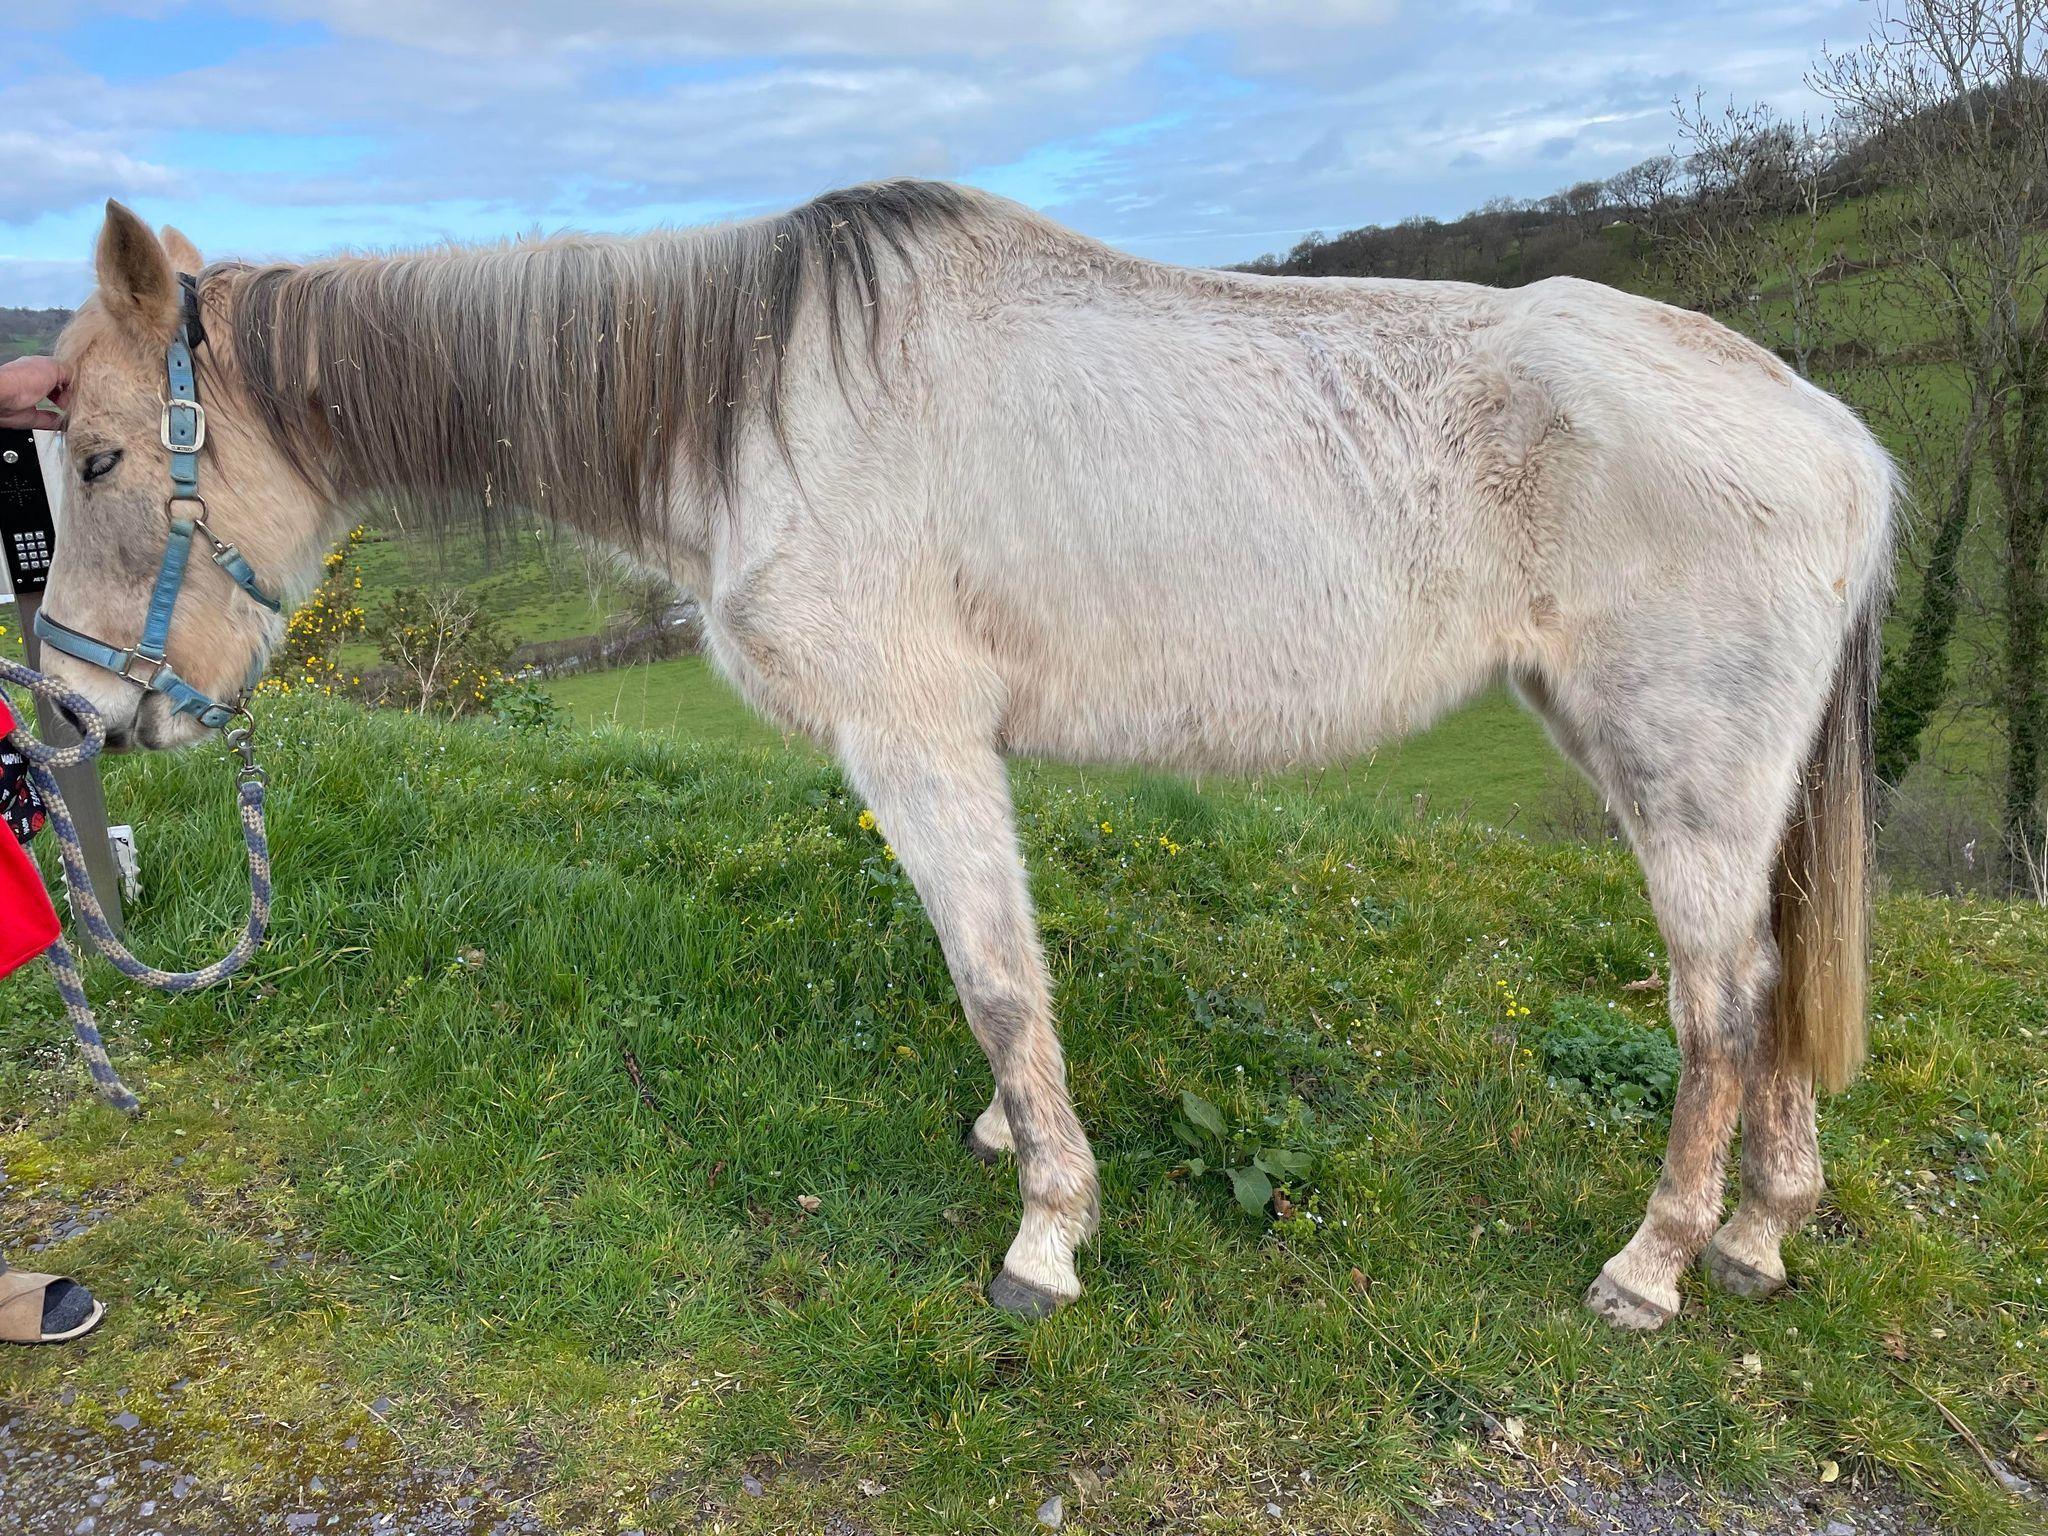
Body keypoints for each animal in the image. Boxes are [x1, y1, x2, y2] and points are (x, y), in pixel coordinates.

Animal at [36, 186, 1884, 1327]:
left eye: (108, 455)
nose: (73, 717)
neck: (757, 402)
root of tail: (1832, 432)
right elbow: (995, 973)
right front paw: (1017, 1145)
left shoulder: (915, 741)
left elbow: (996, 978)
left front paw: (1047, 1234)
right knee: (1774, 982)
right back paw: (1757, 1233)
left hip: (1678, 775)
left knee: (1722, 1005)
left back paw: (1652, 1264)